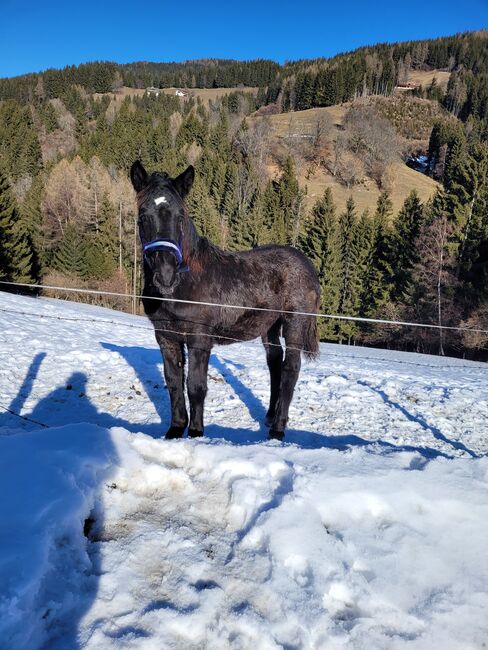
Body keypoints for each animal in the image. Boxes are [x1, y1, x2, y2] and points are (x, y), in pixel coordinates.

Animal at [130, 161, 320, 440]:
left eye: (180, 217)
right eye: (143, 216)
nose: (165, 275)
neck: (186, 282)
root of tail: (307, 264)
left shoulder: (199, 338)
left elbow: (196, 386)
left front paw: (196, 432)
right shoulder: (166, 337)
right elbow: (174, 383)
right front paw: (175, 430)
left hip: (295, 323)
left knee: (290, 369)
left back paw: (277, 429)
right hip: (270, 326)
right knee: (275, 363)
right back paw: (269, 417)